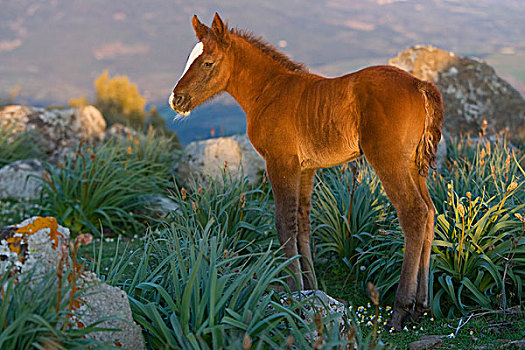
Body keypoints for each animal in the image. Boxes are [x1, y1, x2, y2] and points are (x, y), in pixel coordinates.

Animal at [169, 13, 442, 330]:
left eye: (207, 62)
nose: (176, 100)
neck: (268, 90)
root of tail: (419, 84)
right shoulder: (306, 169)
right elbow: (302, 223)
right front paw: (310, 290)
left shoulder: (279, 162)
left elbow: (284, 223)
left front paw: (294, 294)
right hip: (412, 164)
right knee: (430, 212)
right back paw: (421, 306)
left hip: (388, 160)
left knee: (413, 213)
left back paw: (400, 311)